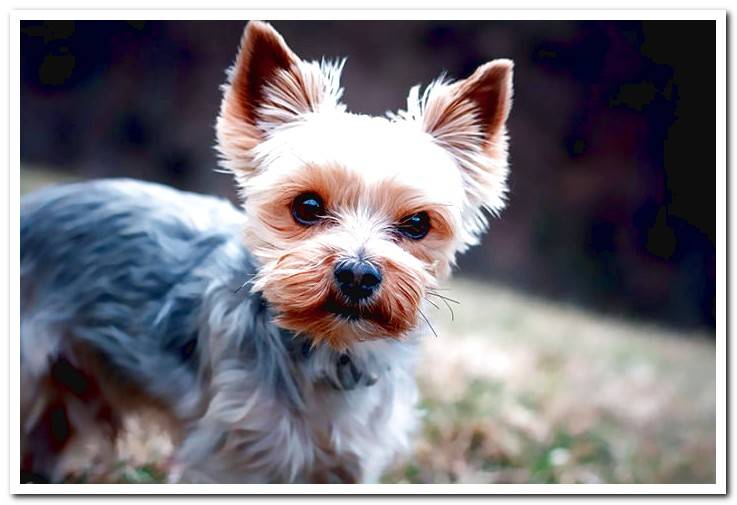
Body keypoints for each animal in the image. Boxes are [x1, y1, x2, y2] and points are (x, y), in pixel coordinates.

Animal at [17, 21, 512, 482]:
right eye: (307, 206)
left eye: (417, 224)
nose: (357, 274)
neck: (330, 351)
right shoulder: (232, 458)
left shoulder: (350, 463)